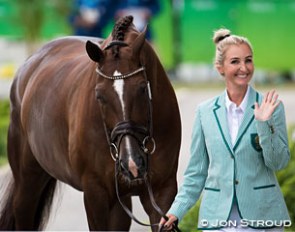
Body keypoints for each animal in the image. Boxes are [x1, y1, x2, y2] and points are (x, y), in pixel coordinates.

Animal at [0, 15, 182, 231]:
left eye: (142, 89)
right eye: (99, 95)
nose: (131, 163)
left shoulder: (162, 191)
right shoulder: (95, 193)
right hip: (28, 178)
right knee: (23, 210)